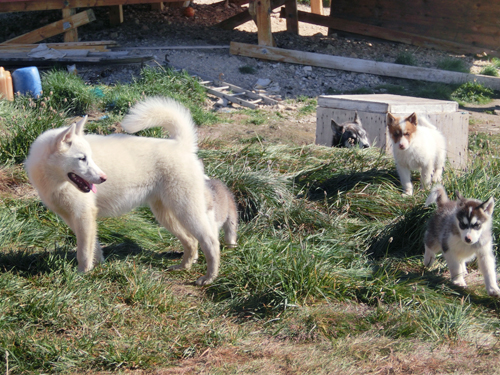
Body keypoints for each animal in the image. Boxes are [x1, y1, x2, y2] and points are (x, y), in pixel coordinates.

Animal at [25, 98, 221, 286]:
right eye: (82, 158)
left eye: (89, 157)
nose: (104, 178)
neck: (55, 182)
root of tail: (181, 145)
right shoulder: (74, 218)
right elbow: (94, 247)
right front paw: (99, 267)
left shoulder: (83, 216)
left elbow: (84, 252)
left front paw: (82, 275)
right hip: (166, 215)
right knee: (191, 241)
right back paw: (183, 266)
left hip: (187, 211)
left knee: (211, 241)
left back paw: (209, 278)